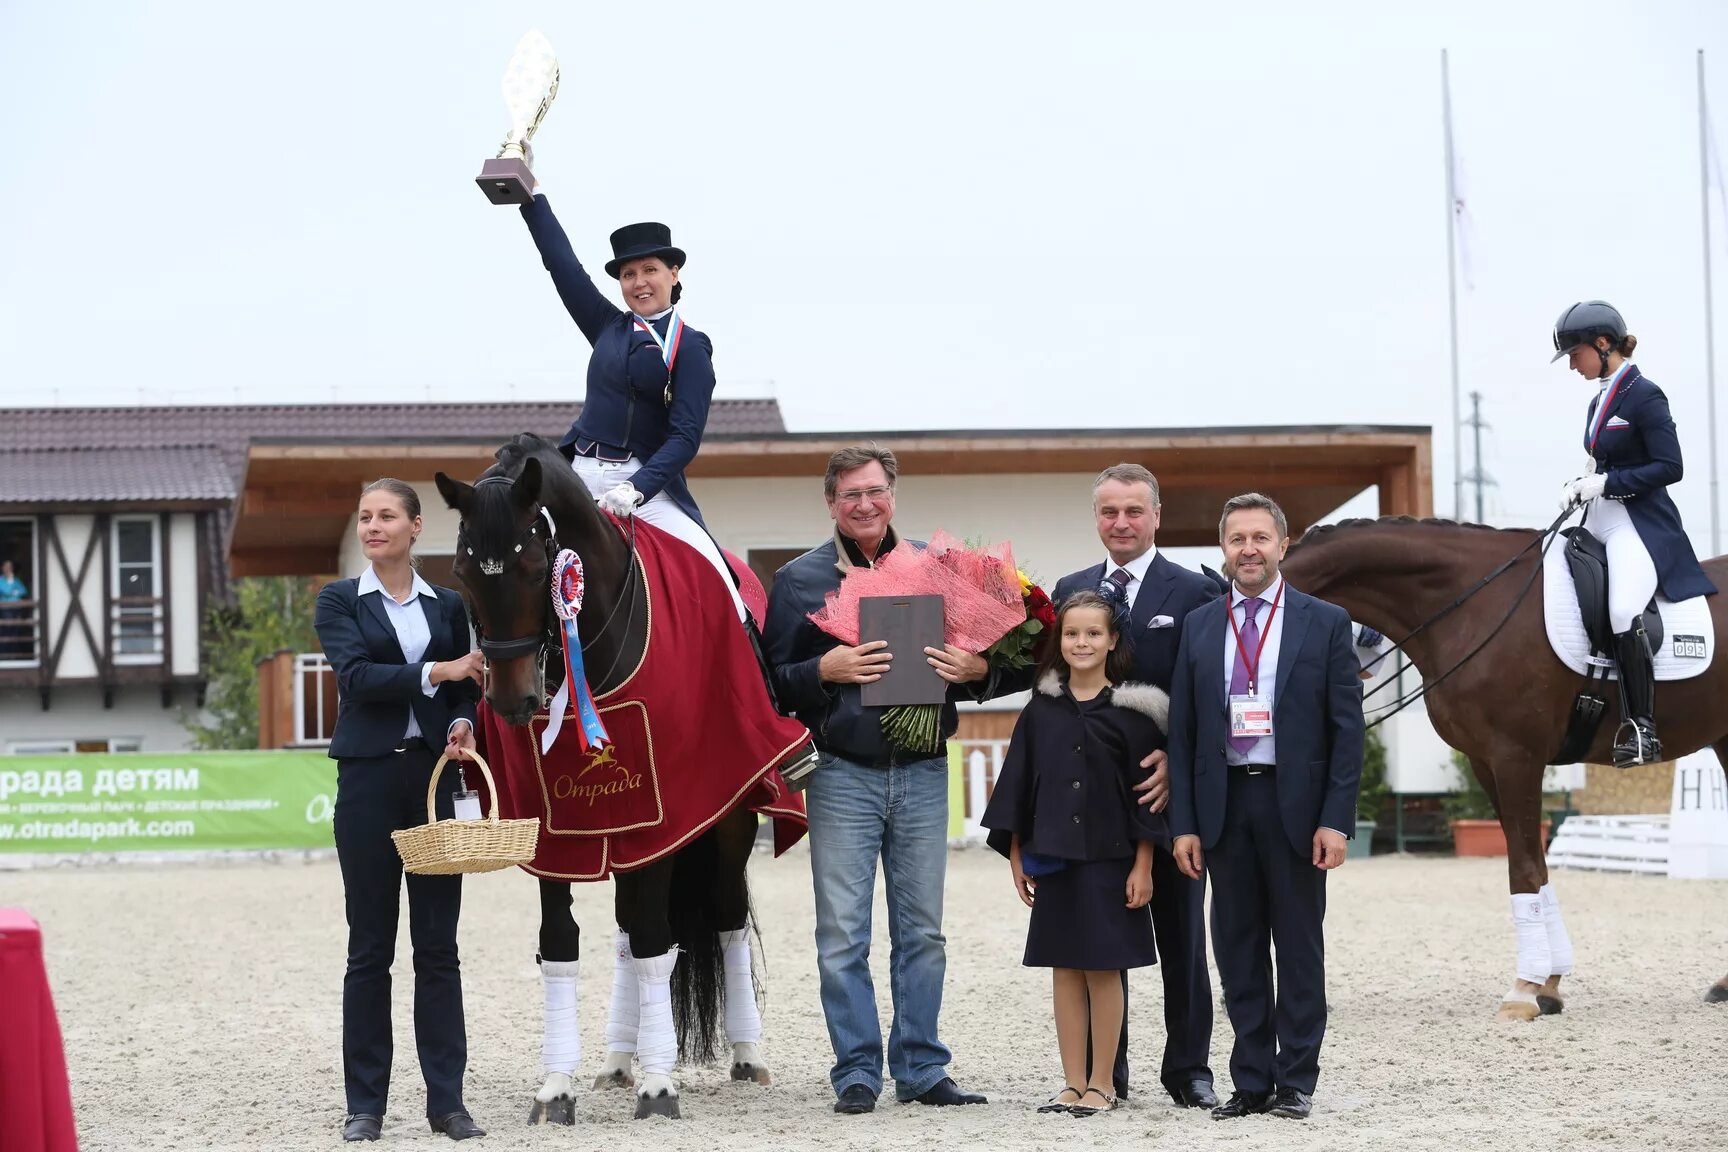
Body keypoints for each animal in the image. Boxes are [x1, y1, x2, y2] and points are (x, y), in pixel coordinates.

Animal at [432, 436, 763, 1119]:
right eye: (462, 573)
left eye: (538, 569)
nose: (512, 702)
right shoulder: (553, 828)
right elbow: (562, 942)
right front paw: (556, 1085)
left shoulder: (664, 815)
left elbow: (657, 940)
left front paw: (659, 1086)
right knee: (627, 929)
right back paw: (615, 1059)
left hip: (729, 820)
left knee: (724, 916)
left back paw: (746, 1054)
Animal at [1278, 518, 1728, 1015]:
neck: (1472, 604)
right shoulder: (1485, 761)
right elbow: (1535, 864)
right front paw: (1549, 984)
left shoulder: (1517, 757)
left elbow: (1524, 868)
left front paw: (1525, 991)